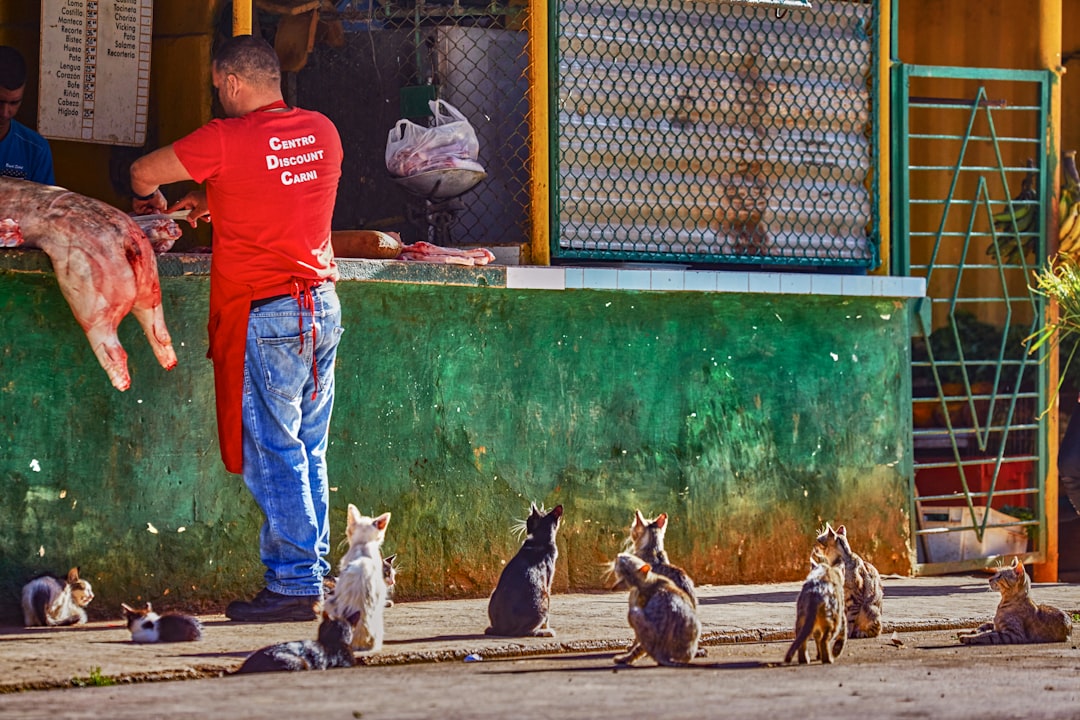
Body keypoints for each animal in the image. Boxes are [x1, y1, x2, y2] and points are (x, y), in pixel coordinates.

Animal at [483, 500, 561, 634]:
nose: (525, 521)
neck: (540, 539)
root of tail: (503, 630)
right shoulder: (548, 582)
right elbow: (547, 618)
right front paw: (546, 628)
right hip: (543, 597)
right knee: (525, 631)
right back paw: (544, 632)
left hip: (493, 592)